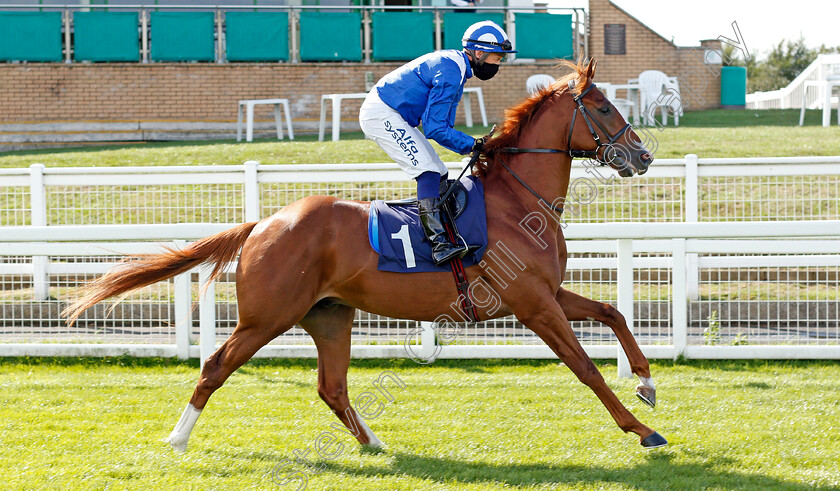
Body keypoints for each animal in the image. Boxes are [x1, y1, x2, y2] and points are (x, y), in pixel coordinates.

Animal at [64, 59, 668, 456]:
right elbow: (585, 367)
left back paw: (375, 442)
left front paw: (646, 381)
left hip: (330, 316)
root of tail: (265, 223)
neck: (517, 200)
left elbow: (613, 312)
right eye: (603, 106)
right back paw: (178, 438)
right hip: (267, 316)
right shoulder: (532, 305)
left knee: (331, 386)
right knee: (215, 366)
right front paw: (642, 430)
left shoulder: (546, 292)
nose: (642, 155)